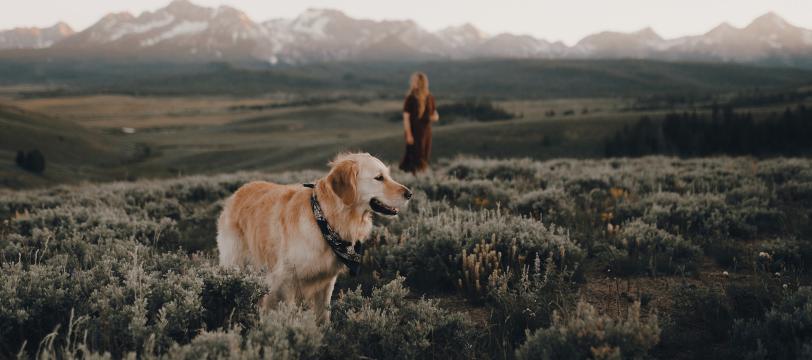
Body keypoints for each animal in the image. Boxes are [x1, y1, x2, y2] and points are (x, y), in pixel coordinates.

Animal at [216, 152, 412, 320]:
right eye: (378, 178)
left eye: (388, 175)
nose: (410, 194)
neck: (327, 218)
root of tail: (238, 192)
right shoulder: (288, 280)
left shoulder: (326, 281)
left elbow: (323, 316)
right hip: (235, 262)